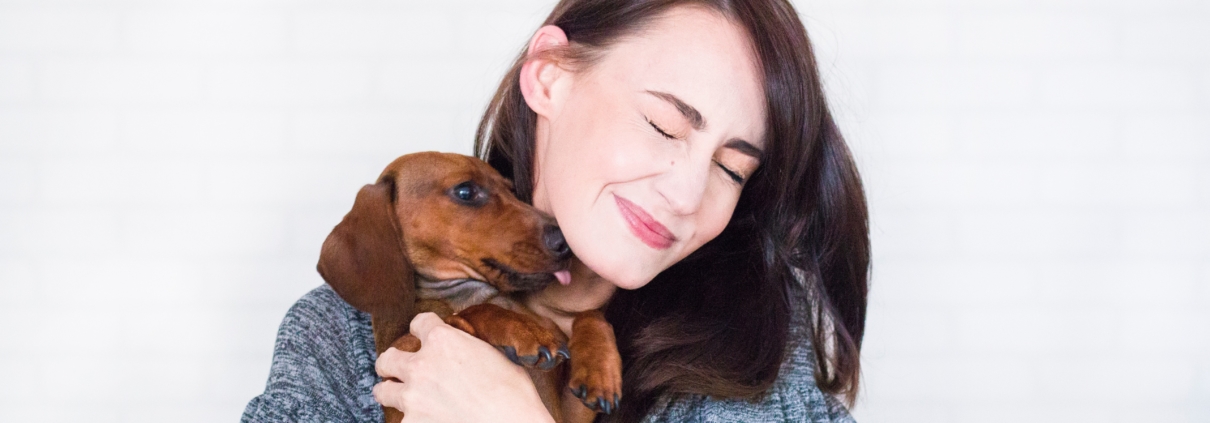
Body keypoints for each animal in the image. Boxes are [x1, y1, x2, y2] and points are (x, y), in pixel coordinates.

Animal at [317, 152, 619, 423]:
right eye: (465, 191)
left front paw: (600, 370)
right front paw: (524, 329)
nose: (565, 243)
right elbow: (468, 313)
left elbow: (590, 314)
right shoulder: (404, 357)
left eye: (511, 191)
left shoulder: (571, 413)